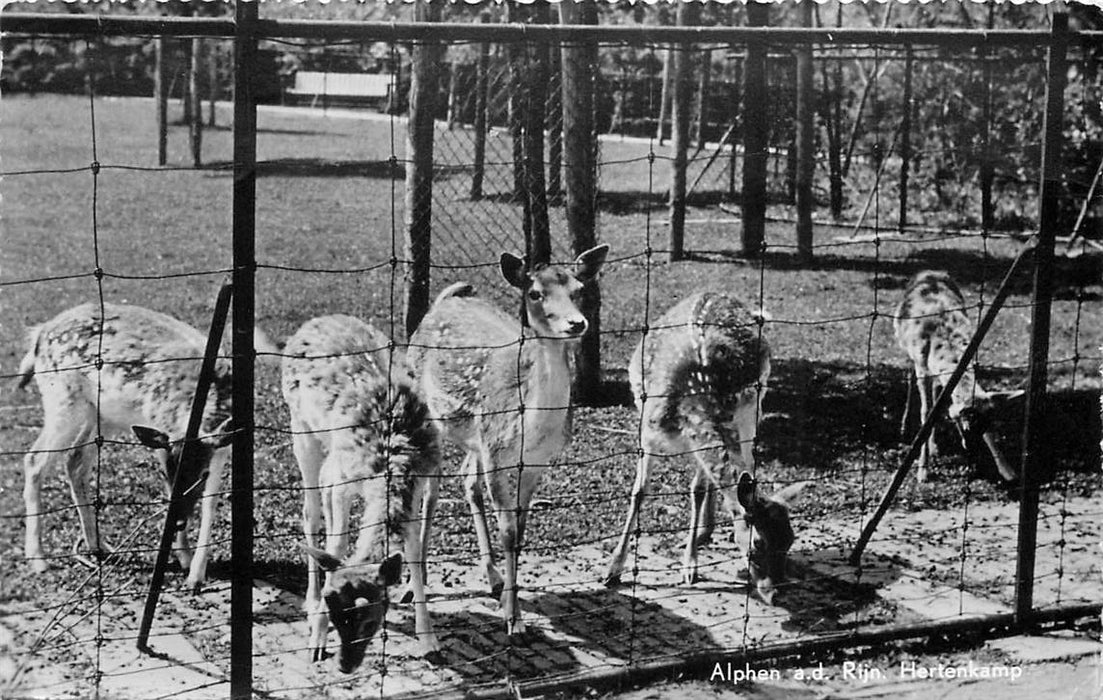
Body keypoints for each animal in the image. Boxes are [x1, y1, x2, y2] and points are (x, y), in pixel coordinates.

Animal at [13, 302, 238, 590]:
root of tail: (39, 335)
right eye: (165, 473)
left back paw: (98, 545)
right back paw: (38, 558)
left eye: (202, 474)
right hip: (62, 399)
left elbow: (211, 501)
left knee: (74, 461)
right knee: (35, 459)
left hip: (99, 414)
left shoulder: (221, 447)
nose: (176, 521)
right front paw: (188, 562)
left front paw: (194, 570)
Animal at [280, 315, 443, 670]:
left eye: (371, 619)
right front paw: (317, 638)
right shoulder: (345, 483)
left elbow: (412, 550)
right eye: (335, 612)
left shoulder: (415, 486)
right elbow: (338, 544)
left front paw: (430, 641)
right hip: (301, 428)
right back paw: (308, 601)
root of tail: (315, 321)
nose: (346, 664)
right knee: (310, 512)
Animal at [408, 243, 608, 639]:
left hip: (475, 439)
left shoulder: (533, 462)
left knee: (466, 480)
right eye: (535, 294)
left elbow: (521, 529)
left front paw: (509, 603)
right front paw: (513, 619)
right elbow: (508, 532)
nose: (576, 324)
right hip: (429, 417)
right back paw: (413, 584)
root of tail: (444, 301)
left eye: (579, 290)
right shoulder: (497, 453)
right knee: (431, 490)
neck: (530, 426)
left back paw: (493, 577)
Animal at [604, 293, 802, 604]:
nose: (778, 594)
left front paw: (690, 565)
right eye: (757, 544)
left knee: (742, 465)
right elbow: (639, 492)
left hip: (753, 409)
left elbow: (697, 488)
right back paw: (702, 533)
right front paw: (613, 569)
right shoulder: (648, 429)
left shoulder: (716, 425)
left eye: (791, 539)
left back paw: (702, 533)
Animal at [891, 271, 1019, 485]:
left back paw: (934, 446)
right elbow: (926, 412)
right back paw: (904, 426)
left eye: (988, 423)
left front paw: (1008, 470)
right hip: (906, 349)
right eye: (966, 422)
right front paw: (922, 472)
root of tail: (928, 272)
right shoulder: (922, 369)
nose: (971, 446)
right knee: (909, 378)